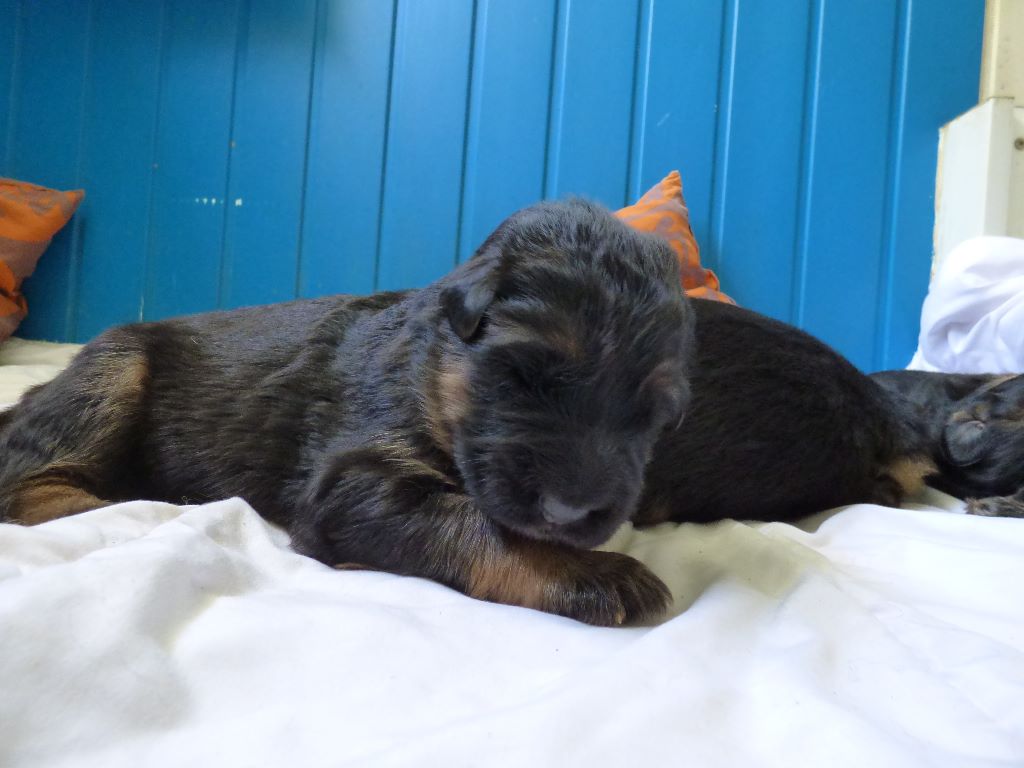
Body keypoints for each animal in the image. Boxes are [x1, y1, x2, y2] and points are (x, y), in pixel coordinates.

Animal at [0, 201, 937, 626]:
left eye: (657, 412)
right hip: (115, 374)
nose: (575, 510)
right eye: (524, 374)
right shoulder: (355, 479)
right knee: (30, 480)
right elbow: (474, 522)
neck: (433, 376)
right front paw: (600, 575)